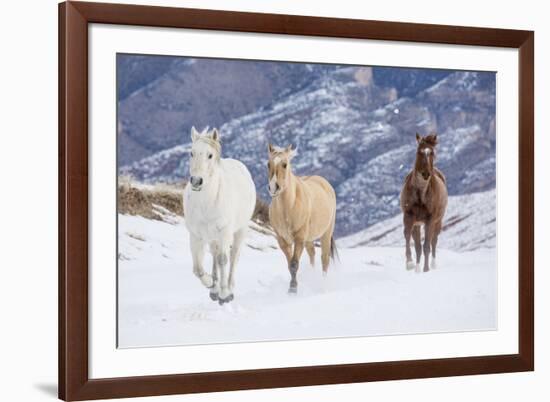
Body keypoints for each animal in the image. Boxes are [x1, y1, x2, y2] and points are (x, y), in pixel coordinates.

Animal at [183, 127, 256, 304]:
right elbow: (197, 268)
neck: (206, 203)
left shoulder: (224, 232)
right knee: (214, 255)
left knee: (233, 256)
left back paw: (229, 287)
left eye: (210, 155)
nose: (196, 181)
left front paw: (225, 294)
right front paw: (211, 283)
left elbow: (223, 259)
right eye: (191, 153)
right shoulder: (196, 235)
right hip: (212, 237)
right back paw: (214, 289)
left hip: (239, 231)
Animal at [266, 144, 338, 292]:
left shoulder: (299, 238)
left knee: (324, 258)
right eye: (268, 164)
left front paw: (293, 289)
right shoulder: (283, 240)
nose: (273, 187)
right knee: (312, 254)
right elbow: (290, 264)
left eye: (285, 164)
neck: (289, 207)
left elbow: (294, 264)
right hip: (309, 239)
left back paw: (323, 283)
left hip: (326, 233)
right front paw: (292, 287)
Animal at [402, 133, 448, 272]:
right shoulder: (408, 216)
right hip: (417, 224)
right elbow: (407, 236)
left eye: (432, 152)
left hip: (438, 221)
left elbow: (427, 245)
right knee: (417, 245)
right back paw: (417, 268)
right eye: (419, 151)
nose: (426, 174)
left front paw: (426, 269)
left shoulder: (430, 219)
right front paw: (410, 263)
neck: (420, 194)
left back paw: (432, 264)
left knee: (433, 241)